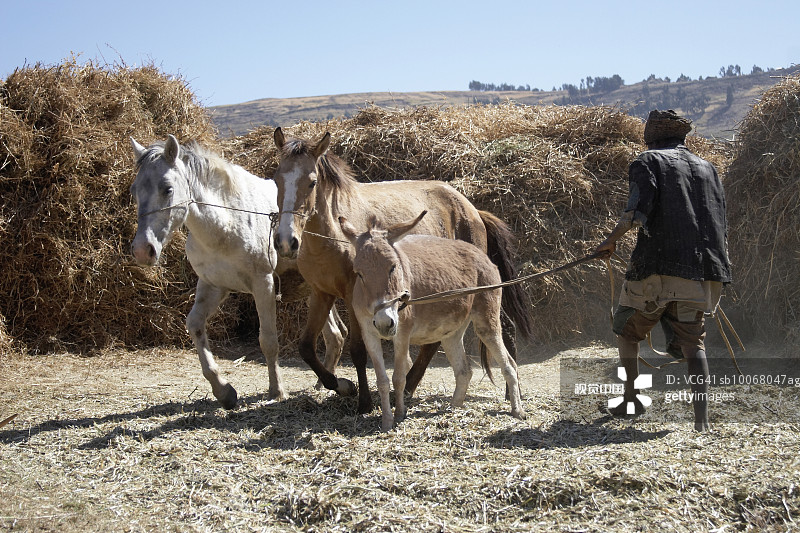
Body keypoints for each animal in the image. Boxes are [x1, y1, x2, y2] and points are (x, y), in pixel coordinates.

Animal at [129, 135, 346, 409]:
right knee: (336, 336)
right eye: (134, 190)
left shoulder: (263, 285)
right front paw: (224, 391)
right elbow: (195, 326)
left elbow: (268, 340)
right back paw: (323, 383)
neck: (227, 222)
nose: (142, 250)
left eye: (167, 188)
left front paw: (276, 391)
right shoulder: (213, 286)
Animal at [340, 212, 526, 431]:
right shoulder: (369, 334)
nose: (385, 322)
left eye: (393, 267)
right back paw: (453, 409)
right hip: (451, 332)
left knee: (509, 364)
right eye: (359, 273)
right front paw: (386, 421)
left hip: (486, 323)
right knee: (464, 371)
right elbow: (382, 380)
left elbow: (398, 377)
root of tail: (482, 255)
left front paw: (399, 415)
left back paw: (517, 410)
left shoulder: (402, 334)